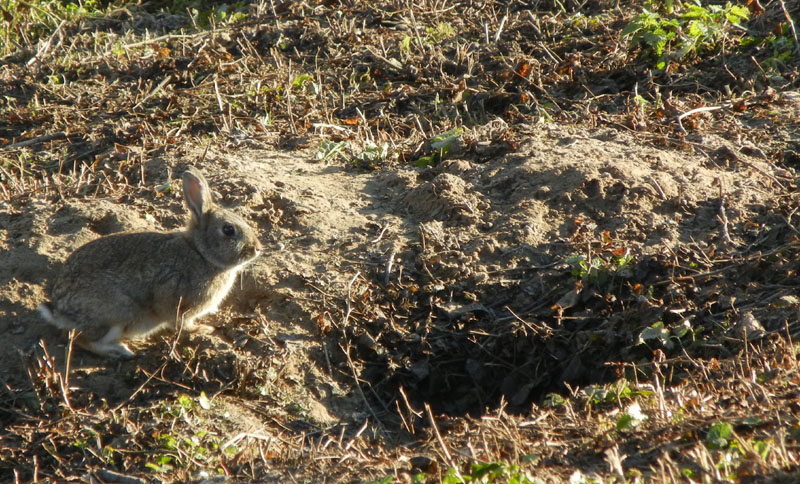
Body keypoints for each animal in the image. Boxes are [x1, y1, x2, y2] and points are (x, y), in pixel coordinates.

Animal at [37, 167, 262, 360]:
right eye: (228, 230)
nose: (257, 248)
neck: (200, 253)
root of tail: (58, 309)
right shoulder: (175, 298)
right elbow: (182, 323)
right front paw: (203, 329)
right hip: (120, 310)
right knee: (79, 339)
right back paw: (119, 351)